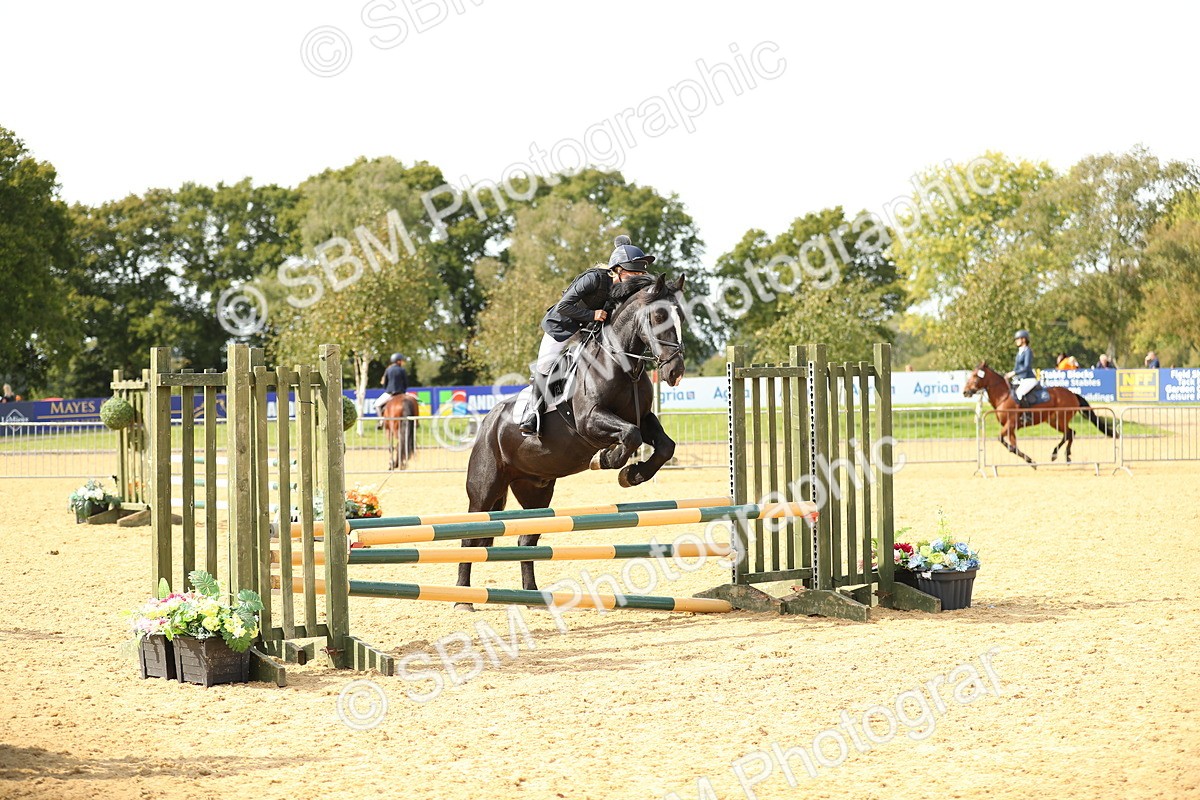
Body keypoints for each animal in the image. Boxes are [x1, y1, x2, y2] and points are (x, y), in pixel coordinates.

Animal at [455, 273, 687, 610]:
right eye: (658, 317)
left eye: (681, 316)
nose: (675, 371)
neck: (622, 364)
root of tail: (488, 421)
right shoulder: (589, 420)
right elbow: (628, 436)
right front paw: (606, 460)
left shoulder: (644, 418)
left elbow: (664, 446)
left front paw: (633, 475)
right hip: (485, 488)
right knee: (471, 537)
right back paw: (463, 598)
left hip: (535, 491)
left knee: (526, 540)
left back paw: (531, 595)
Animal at [962, 362, 1116, 466]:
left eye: (975, 376)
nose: (965, 392)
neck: (1003, 396)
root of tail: (1072, 393)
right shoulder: (1011, 428)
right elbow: (1013, 447)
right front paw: (1030, 461)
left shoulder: (1010, 424)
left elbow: (1001, 439)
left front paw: (1029, 460)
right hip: (1053, 421)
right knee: (1070, 433)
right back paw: (1061, 455)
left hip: (1060, 419)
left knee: (1070, 433)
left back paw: (1061, 455)